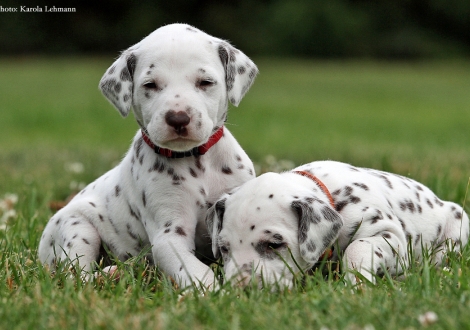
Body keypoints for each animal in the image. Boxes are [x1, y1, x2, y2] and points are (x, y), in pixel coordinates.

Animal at [37, 22, 258, 288]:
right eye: (150, 85)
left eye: (205, 82)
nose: (178, 118)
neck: (197, 162)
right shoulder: (169, 235)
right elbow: (197, 271)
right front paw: (216, 293)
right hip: (77, 228)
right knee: (76, 275)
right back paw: (113, 273)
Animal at [207, 160, 468, 286]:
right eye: (224, 249)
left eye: (274, 244)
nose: (241, 289)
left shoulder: (390, 236)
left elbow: (358, 247)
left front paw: (355, 282)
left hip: (458, 223)